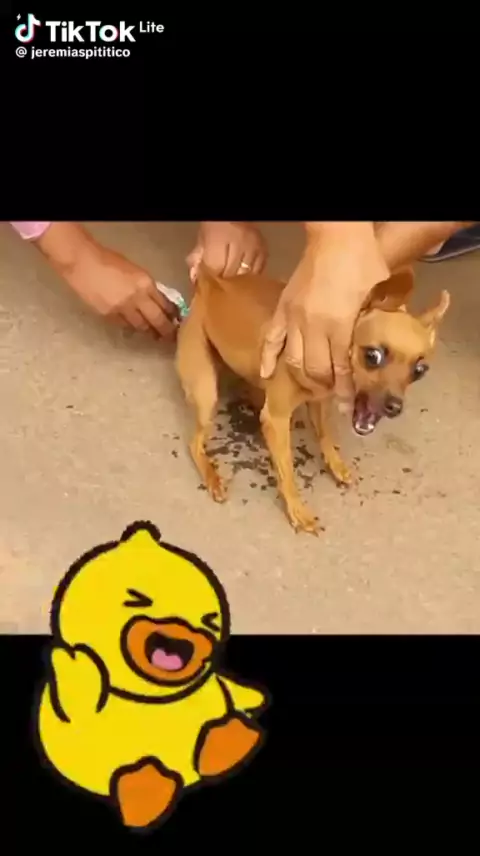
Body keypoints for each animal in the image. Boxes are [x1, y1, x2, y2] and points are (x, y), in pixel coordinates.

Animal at [176, 265, 449, 535]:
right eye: (372, 356)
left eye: (420, 370)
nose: (394, 407)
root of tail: (210, 281)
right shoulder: (277, 418)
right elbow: (287, 471)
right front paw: (297, 510)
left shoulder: (318, 403)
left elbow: (325, 435)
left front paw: (335, 464)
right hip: (206, 393)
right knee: (194, 443)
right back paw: (211, 476)